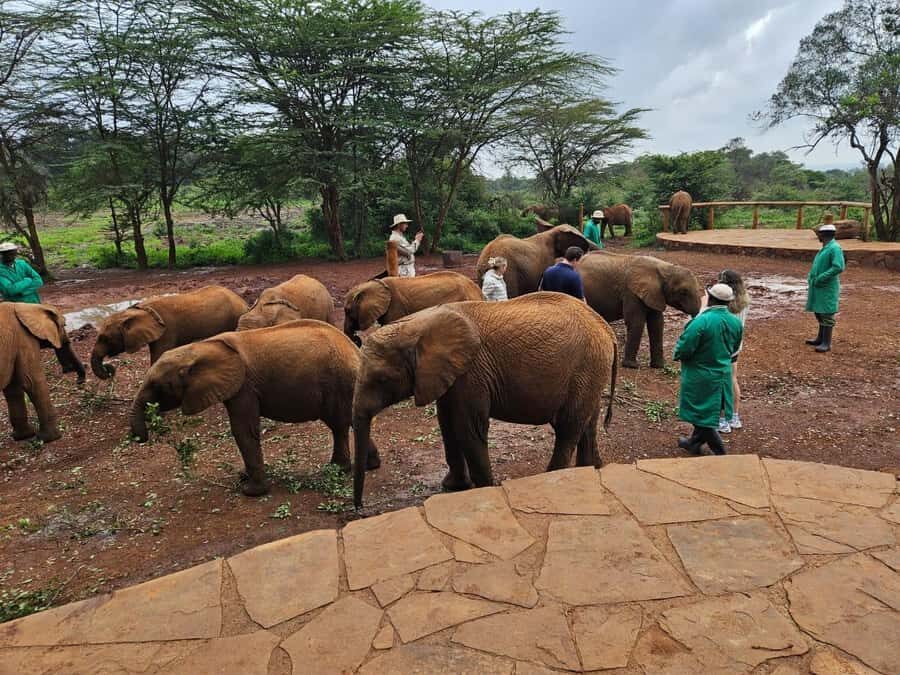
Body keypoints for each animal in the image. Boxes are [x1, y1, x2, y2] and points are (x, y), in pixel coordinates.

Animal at [1, 303, 85, 442]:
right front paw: (50, 438)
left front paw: (24, 436)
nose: (79, 382)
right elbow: (32, 382)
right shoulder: (23, 338)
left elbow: (13, 389)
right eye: (64, 325)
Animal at [91, 285, 248, 379]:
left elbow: (158, 357)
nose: (109, 369)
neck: (139, 310)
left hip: (234, 318)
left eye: (105, 338)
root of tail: (242, 300)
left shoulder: (167, 330)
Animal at [130, 320, 380, 497]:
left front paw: (251, 491)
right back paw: (361, 467)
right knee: (344, 423)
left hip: (338, 382)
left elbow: (243, 430)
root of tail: (355, 351)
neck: (200, 348)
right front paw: (243, 477)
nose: (141, 438)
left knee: (340, 422)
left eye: (157, 386)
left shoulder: (244, 387)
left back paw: (343, 469)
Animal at [352, 292, 618, 507]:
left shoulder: (471, 372)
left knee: (568, 427)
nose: (360, 508)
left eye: (382, 380)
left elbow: (467, 428)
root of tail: (607, 329)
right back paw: (591, 468)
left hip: (586, 366)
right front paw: (453, 487)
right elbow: (446, 425)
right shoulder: (449, 374)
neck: (420, 324)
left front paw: (483, 492)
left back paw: (551, 476)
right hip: (591, 371)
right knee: (587, 422)